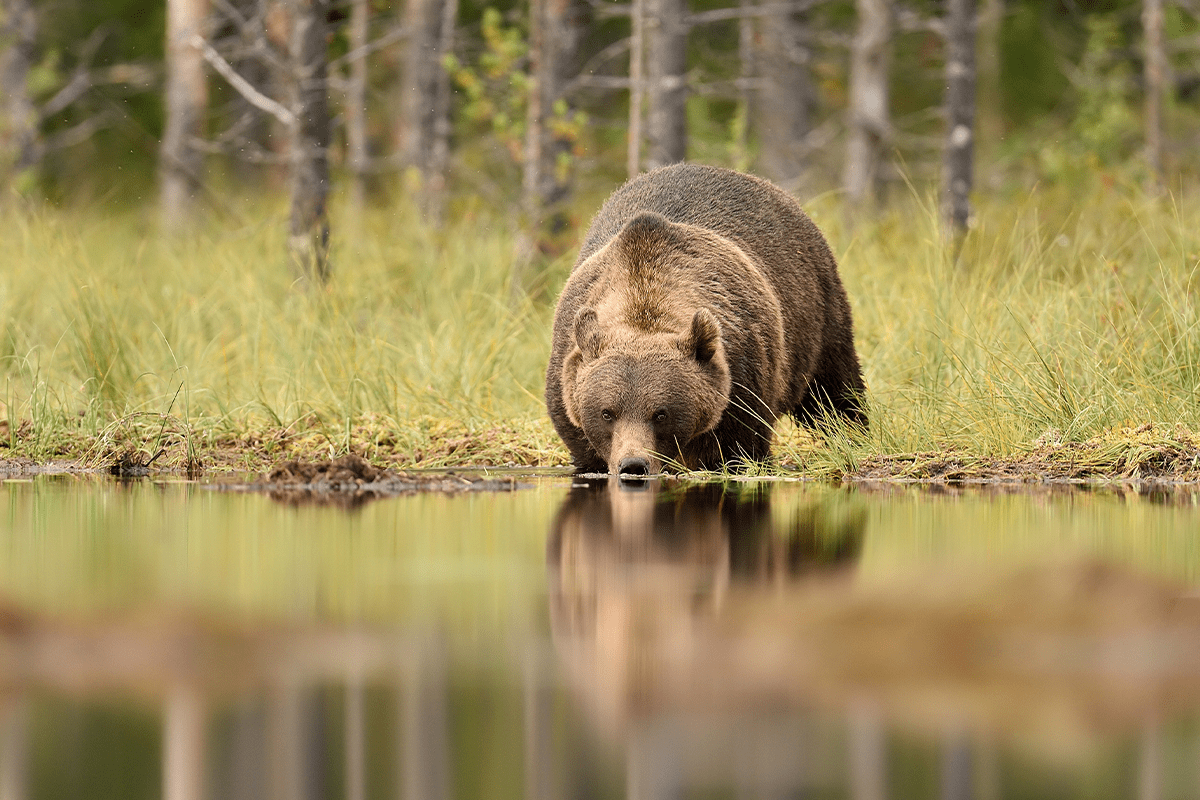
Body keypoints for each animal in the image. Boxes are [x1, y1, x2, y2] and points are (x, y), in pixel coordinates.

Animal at [544, 164, 864, 474]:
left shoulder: (742, 376)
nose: (633, 465)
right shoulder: (567, 372)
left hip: (815, 310)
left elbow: (738, 447)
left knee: (833, 387)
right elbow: (585, 447)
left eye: (660, 413)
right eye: (607, 412)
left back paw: (853, 433)